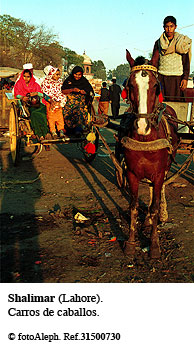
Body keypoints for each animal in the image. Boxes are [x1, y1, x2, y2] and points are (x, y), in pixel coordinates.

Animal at [121, 49, 179, 258]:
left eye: (155, 86)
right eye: (130, 85)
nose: (142, 126)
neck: (146, 139)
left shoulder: (159, 172)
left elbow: (154, 205)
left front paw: (154, 245)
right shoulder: (131, 173)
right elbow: (133, 206)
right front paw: (131, 243)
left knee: (158, 191)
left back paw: (160, 214)